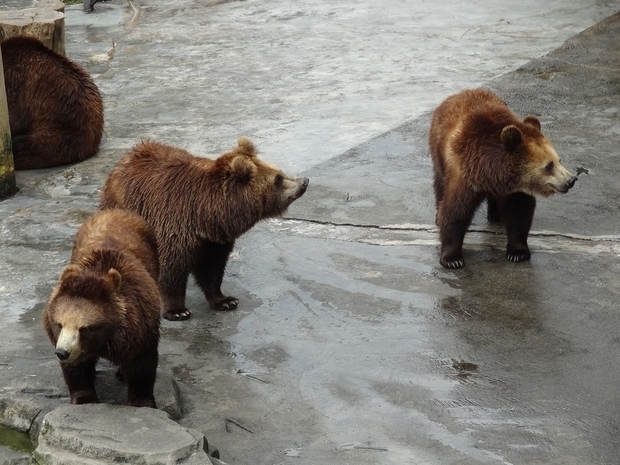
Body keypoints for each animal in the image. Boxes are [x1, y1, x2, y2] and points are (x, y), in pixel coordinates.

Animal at [42, 209, 161, 406]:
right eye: (59, 324)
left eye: (84, 328)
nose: (62, 352)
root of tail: (116, 211)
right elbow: (77, 370)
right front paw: (85, 397)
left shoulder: (140, 325)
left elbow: (142, 364)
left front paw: (142, 400)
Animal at [99, 136, 310, 320]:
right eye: (278, 179)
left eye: (279, 171)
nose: (304, 181)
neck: (206, 215)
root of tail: (129, 154)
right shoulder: (173, 225)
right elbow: (171, 269)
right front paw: (178, 311)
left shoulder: (215, 241)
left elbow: (212, 270)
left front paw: (225, 300)